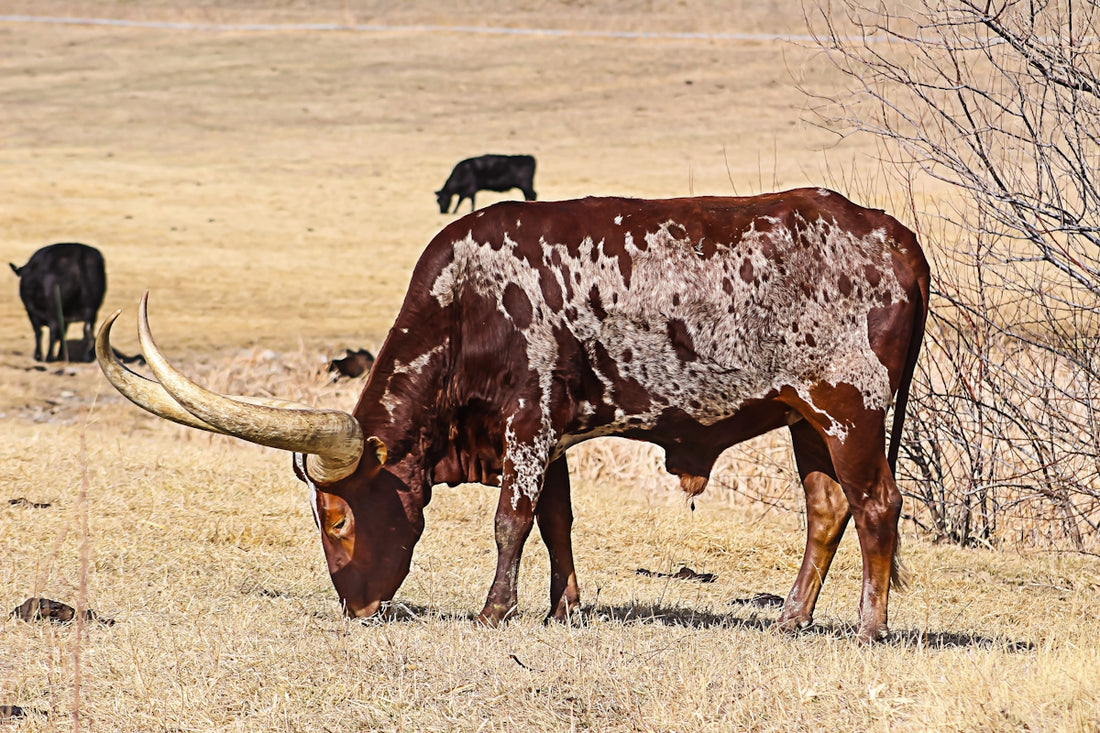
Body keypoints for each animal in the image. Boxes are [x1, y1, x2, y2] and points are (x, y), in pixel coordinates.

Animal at [97, 188, 930, 643]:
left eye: (334, 516)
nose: (357, 608)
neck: (466, 303)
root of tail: (892, 236)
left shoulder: (528, 424)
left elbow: (511, 520)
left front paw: (494, 610)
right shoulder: (550, 437)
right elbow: (557, 521)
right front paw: (564, 609)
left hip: (850, 411)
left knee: (876, 504)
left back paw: (868, 625)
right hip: (804, 419)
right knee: (827, 511)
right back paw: (790, 618)